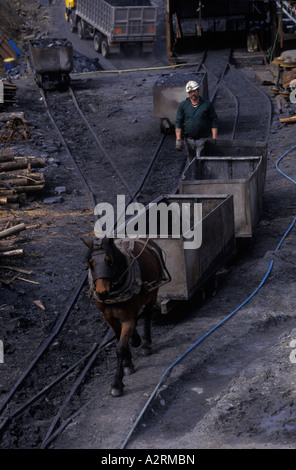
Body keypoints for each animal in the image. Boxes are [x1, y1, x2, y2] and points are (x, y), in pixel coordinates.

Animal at [84, 237, 171, 394]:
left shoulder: (128, 317)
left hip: (152, 293)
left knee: (147, 315)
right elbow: (120, 338)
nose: (102, 293)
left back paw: (145, 344)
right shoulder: (109, 318)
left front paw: (117, 383)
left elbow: (120, 348)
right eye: (91, 262)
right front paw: (127, 362)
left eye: (109, 260)